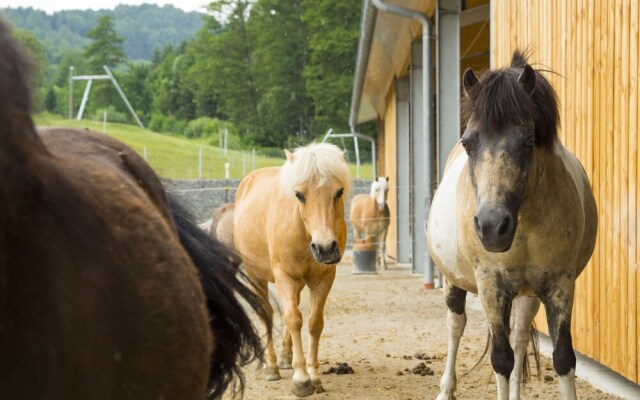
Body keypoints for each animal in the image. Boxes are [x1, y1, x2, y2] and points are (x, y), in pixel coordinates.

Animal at [234, 142, 352, 396]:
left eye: (339, 192)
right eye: (299, 195)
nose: (325, 248)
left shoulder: (323, 278)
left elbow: (314, 323)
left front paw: (314, 376)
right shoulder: (284, 276)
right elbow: (294, 319)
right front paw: (301, 378)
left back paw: (286, 358)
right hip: (255, 276)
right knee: (266, 314)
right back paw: (272, 366)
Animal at [428, 50, 596, 400]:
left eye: (529, 140)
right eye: (469, 143)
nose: (492, 227)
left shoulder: (560, 284)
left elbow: (562, 358)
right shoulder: (490, 284)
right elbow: (500, 359)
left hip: (526, 294)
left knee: (518, 338)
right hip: (454, 281)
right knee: (456, 326)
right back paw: (446, 389)